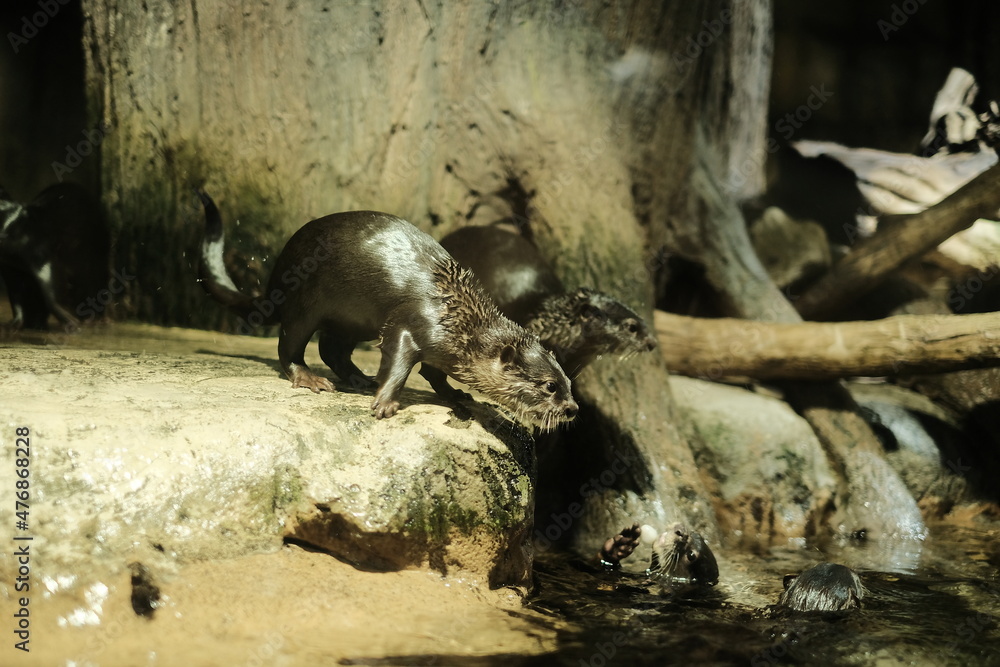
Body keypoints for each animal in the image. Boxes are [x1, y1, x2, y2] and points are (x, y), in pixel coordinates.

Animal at [0, 183, 110, 330]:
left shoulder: (43, 255)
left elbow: (53, 291)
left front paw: (72, 322)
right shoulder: (11, 269)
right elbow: (16, 297)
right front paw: (15, 324)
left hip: (95, 261)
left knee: (94, 285)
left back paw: (94, 320)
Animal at [196, 192, 578, 429]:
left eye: (568, 382)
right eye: (549, 386)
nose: (572, 409)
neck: (457, 319)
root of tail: (277, 269)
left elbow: (434, 374)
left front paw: (457, 395)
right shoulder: (413, 322)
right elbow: (399, 359)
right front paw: (386, 402)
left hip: (353, 321)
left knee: (332, 349)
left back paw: (359, 379)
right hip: (303, 302)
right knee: (290, 345)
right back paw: (311, 378)